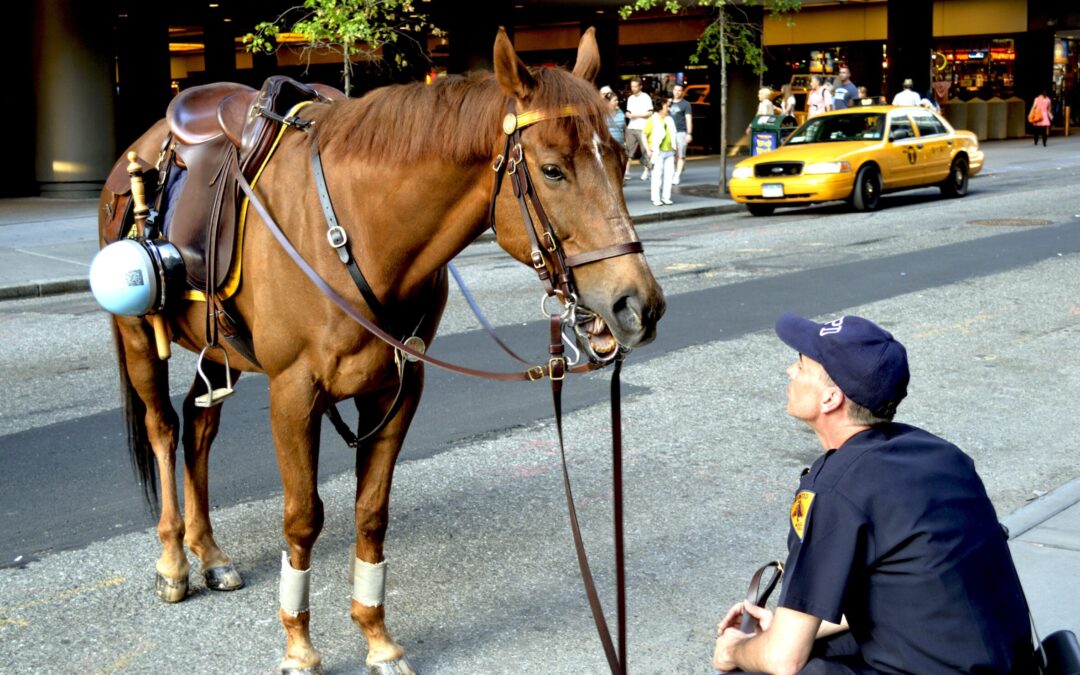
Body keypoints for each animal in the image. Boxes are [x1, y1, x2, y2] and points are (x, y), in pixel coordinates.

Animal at [100, 27, 664, 673]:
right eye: (552, 171)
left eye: (621, 159)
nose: (638, 304)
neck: (358, 231)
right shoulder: (294, 392)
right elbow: (303, 517)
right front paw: (298, 643)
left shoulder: (397, 388)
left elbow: (371, 513)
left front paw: (375, 634)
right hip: (138, 338)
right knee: (164, 428)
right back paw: (174, 559)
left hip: (222, 353)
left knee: (200, 428)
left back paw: (209, 551)